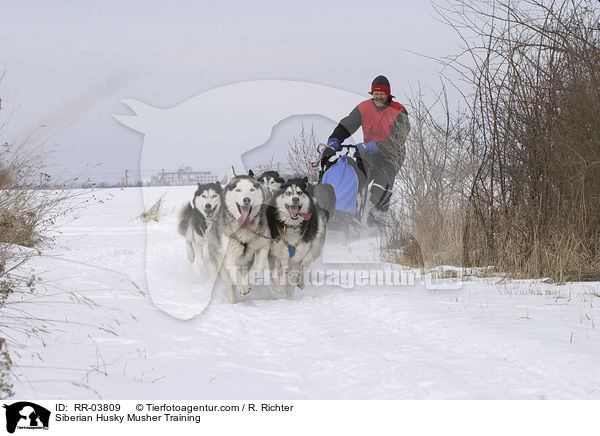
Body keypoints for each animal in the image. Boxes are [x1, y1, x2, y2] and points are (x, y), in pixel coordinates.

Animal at [209, 168, 270, 304]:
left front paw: (256, 273)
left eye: (252, 190)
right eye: (238, 190)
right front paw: (242, 287)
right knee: (228, 280)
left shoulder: (263, 242)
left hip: (246, 260)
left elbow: (262, 261)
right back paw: (233, 298)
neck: (244, 228)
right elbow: (233, 271)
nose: (247, 199)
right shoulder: (229, 255)